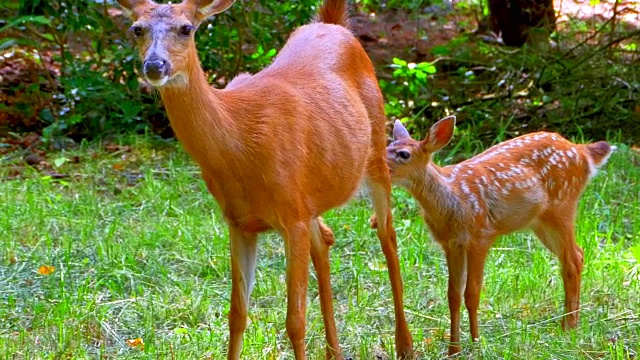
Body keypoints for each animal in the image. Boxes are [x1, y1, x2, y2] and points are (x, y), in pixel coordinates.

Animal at [115, 0, 416, 358]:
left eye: (186, 28)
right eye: (137, 29)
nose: (154, 65)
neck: (240, 143)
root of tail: (333, 25)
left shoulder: (292, 218)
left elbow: (295, 321)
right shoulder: (240, 221)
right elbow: (237, 314)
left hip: (376, 152)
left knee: (387, 235)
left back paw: (405, 344)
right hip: (310, 196)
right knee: (325, 240)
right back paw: (334, 350)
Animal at [380, 117, 616, 354]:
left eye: (404, 154)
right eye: (388, 146)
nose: (379, 166)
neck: (453, 200)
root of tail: (581, 151)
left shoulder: (480, 235)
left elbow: (472, 293)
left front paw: (476, 342)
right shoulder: (451, 244)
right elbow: (453, 295)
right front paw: (453, 350)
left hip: (562, 206)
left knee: (573, 260)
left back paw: (569, 327)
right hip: (540, 223)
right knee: (578, 254)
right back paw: (569, 323)